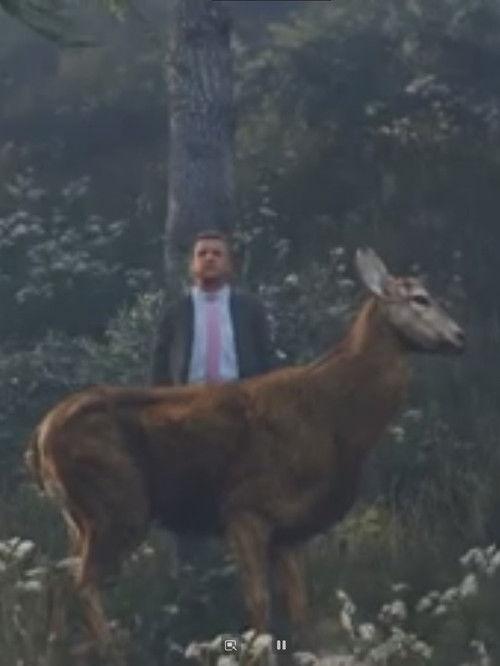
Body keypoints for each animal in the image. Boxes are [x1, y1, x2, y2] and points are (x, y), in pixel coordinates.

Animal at [25, 248, 464, 655]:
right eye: (420, 298)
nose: (460, 336)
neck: (335, 419)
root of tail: (40, 437)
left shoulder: (289, 526)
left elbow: (299, 607)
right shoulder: (246, 506)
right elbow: (258, 602)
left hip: (80, 516)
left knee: (56, 576)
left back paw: (54, 646)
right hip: (117, 503)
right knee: (80, 583)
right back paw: (112, 649)